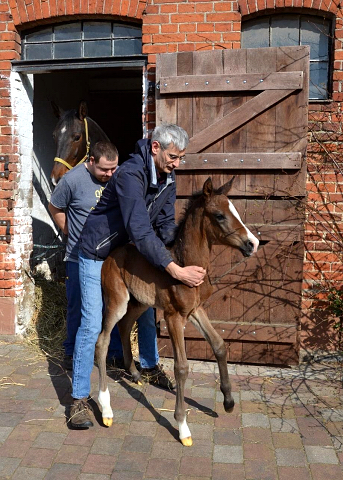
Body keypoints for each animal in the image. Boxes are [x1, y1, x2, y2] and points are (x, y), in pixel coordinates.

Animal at [95, 177, 260, 446]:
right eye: (219, 215)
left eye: (235, 210)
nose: (252, 244)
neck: (187, 264)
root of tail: (111, 255)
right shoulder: (173, 316)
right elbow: (181, 367)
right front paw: (183, 426)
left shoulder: (196, 309)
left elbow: (219, 345)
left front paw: (228, 401)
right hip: (117, 301)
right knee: (102, 341)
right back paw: (106, 409)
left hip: (140, 302)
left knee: (125, 326)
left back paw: (134, 373)